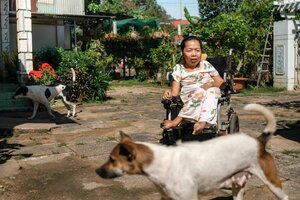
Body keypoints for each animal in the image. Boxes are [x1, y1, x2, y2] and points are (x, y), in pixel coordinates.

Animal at [96, 104, 288, 200]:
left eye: (111, 159)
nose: (97, 171)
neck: (159, 162)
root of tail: (258, 140)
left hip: (273, 184)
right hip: (237, 186)